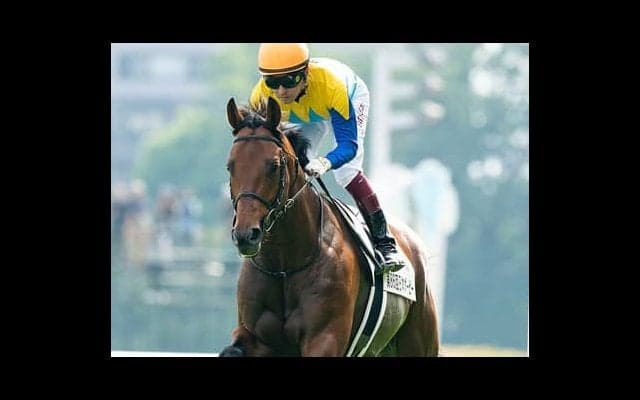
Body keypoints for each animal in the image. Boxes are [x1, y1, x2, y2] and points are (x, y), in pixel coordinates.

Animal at [219, 97, 439, 356]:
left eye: (273, 166)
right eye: (230, 166)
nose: (246, 235)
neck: (285, 264)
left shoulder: (325, 338)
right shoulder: (254, 335)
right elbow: (233, 349)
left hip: (418, 339)